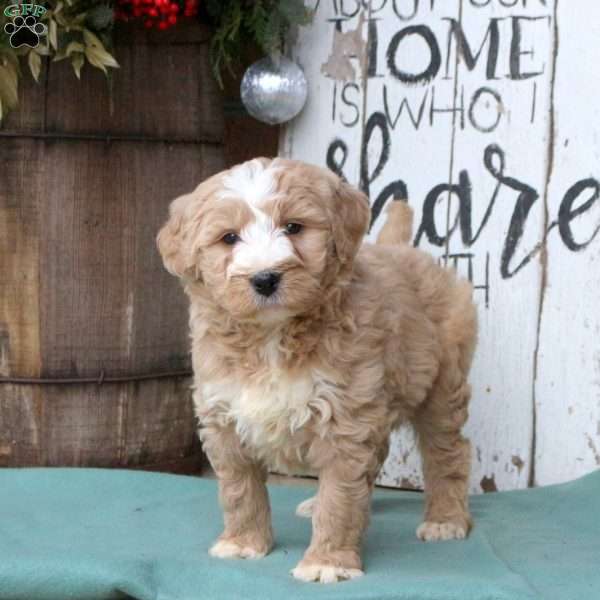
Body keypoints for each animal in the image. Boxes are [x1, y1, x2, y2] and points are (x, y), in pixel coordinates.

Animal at [157, 157, 476, 584]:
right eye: (229, 238)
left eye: (294, 227)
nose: (264, 278)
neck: (271, 338)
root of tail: (398, 249)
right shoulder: (223, 416)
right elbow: (240, 490)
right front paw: (244, 542)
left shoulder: (346, 420)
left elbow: (340, 498)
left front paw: (328, 561)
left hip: (442, 386)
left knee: (448, 452)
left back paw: (446, 519)